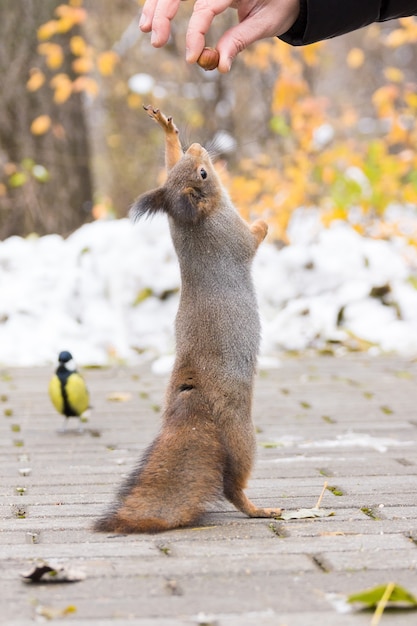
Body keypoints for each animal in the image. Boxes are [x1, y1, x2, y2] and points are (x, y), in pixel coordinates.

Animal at [93, 103, 282, 532]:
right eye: (202, 174)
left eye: (186, 165)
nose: (197, 147)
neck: (192, 220)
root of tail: (195, 399)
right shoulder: (232, 237)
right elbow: (252, 240)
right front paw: (266, 219)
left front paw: (167, 132)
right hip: (242, 435)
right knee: (233, 485)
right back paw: (258, 509)